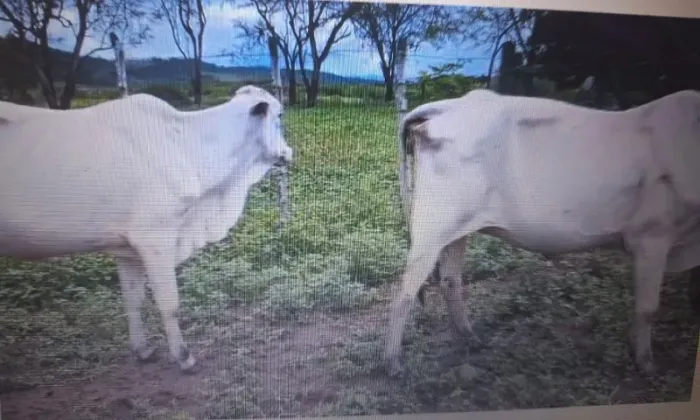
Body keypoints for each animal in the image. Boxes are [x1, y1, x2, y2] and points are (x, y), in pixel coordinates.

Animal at [0, 85, 292, 374]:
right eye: (279, 115)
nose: (290, 152)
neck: (185, 144)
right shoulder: (155, 239)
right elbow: (169, 303)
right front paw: (184, 357)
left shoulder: (125, 248)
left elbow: (133, 299)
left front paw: (142, 350)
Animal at [385, 88, 700, 378]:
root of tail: (453, 104)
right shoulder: (652, 237)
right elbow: (647, 309)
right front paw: (645, 363)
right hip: (431, 227)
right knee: (405, 293)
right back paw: (392, 363)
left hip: (456, 228)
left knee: (449, 281)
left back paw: (470, 338)